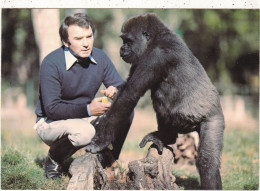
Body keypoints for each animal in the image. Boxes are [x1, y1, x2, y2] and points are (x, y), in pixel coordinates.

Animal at [86, 13, 225, 190]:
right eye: (123, 41)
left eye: (128, 41)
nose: (122, 49)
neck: (156, 38)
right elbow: (125, 91)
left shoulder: (156, 55)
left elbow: (129, 95)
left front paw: (101, 139)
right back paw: (166, 137)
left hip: (214, 119)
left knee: (208, 162)